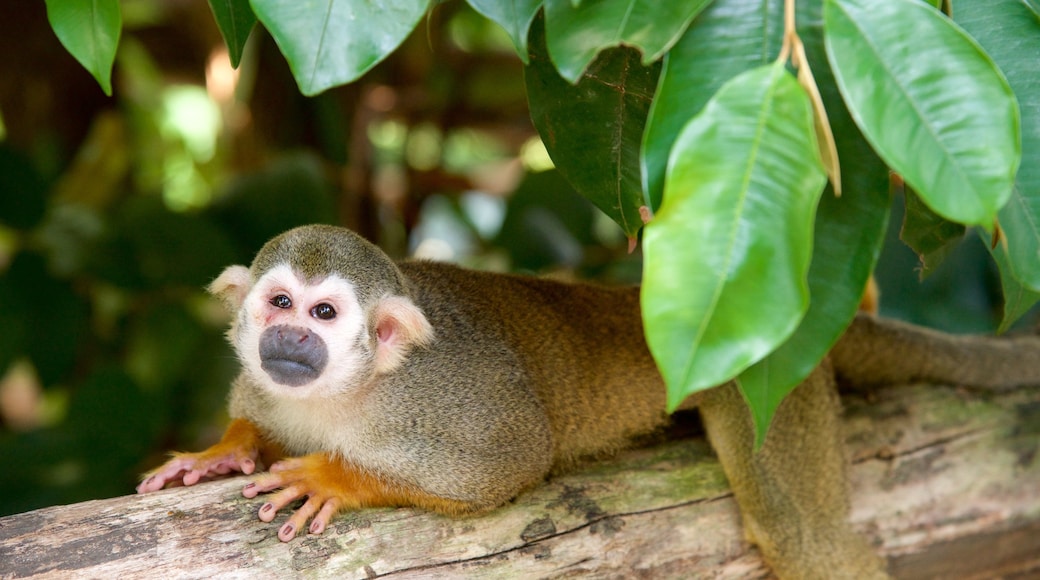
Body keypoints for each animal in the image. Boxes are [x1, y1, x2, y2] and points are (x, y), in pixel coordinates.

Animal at [138, 225, 1040, 577]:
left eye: (324, 315)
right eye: (278, 305)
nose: (290, 342)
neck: (346, 392)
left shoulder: (443, 401)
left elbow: (511, 458)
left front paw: (334, 477)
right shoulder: (265, 381)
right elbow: (252, 405)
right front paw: (225, 448)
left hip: (772, 390)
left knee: (803, 536)